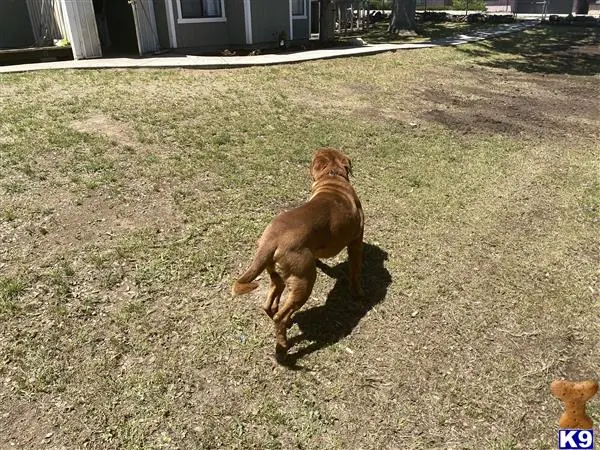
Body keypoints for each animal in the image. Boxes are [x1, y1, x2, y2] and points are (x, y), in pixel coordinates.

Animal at [233, 149, 366, 360]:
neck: (333, 177)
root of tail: (271, 240)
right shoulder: (356, 244)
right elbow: (356, 273)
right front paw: (359, 293)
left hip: (278, 276)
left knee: (270, 305)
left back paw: (283, 324)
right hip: (305, 282)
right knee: (280, 316)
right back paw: (283, 348)